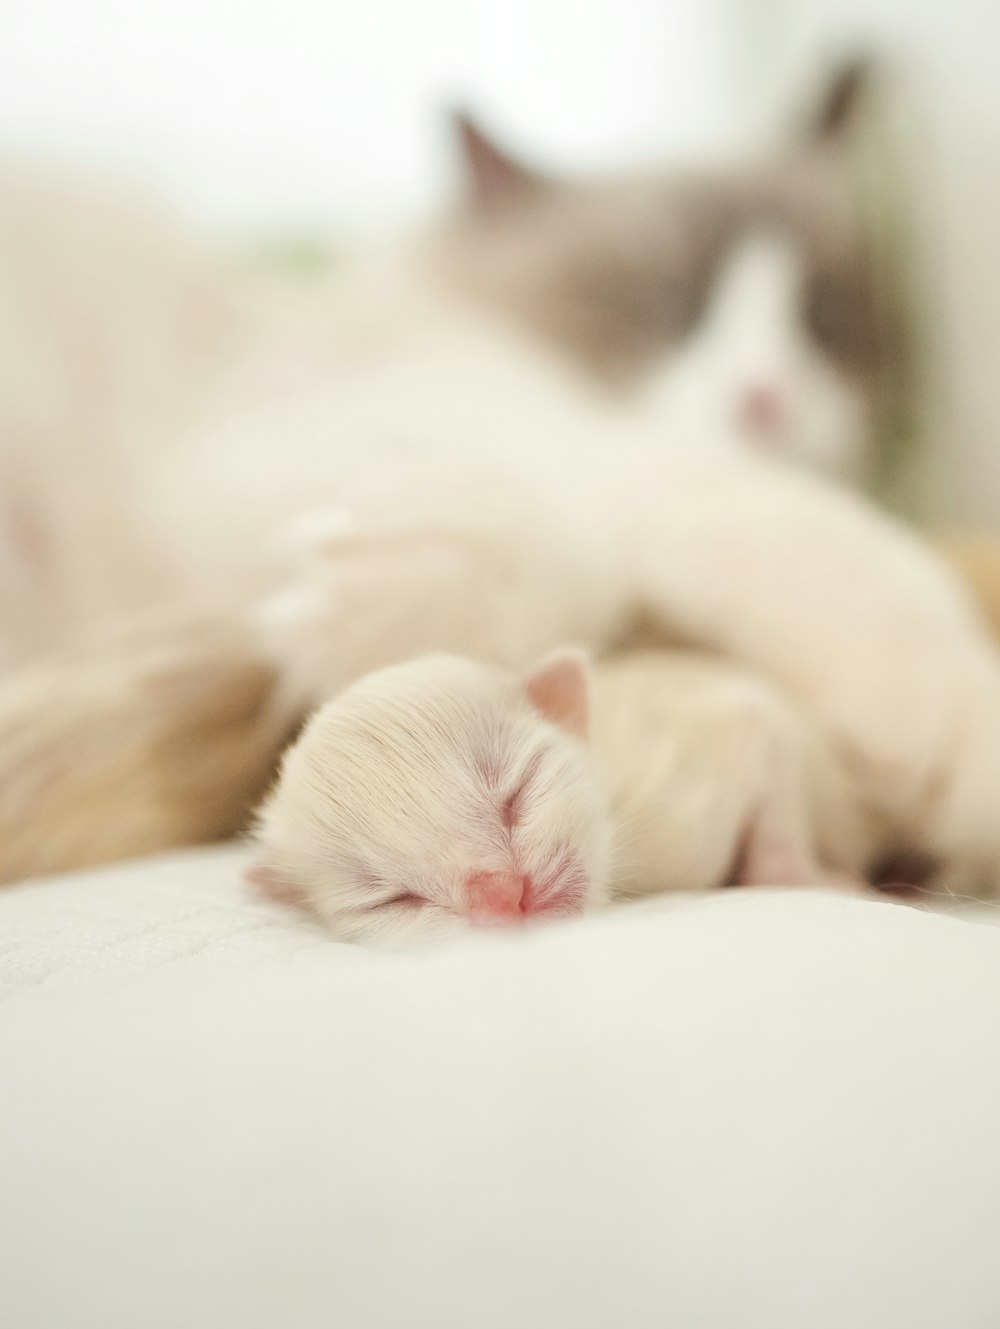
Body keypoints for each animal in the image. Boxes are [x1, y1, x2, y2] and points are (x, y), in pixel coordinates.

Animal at [251, 643, 872, 946]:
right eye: (391, 901)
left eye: (515, 796)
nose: (505, 896)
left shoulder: (722, 748)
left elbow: (764, 747)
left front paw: (826, 880)